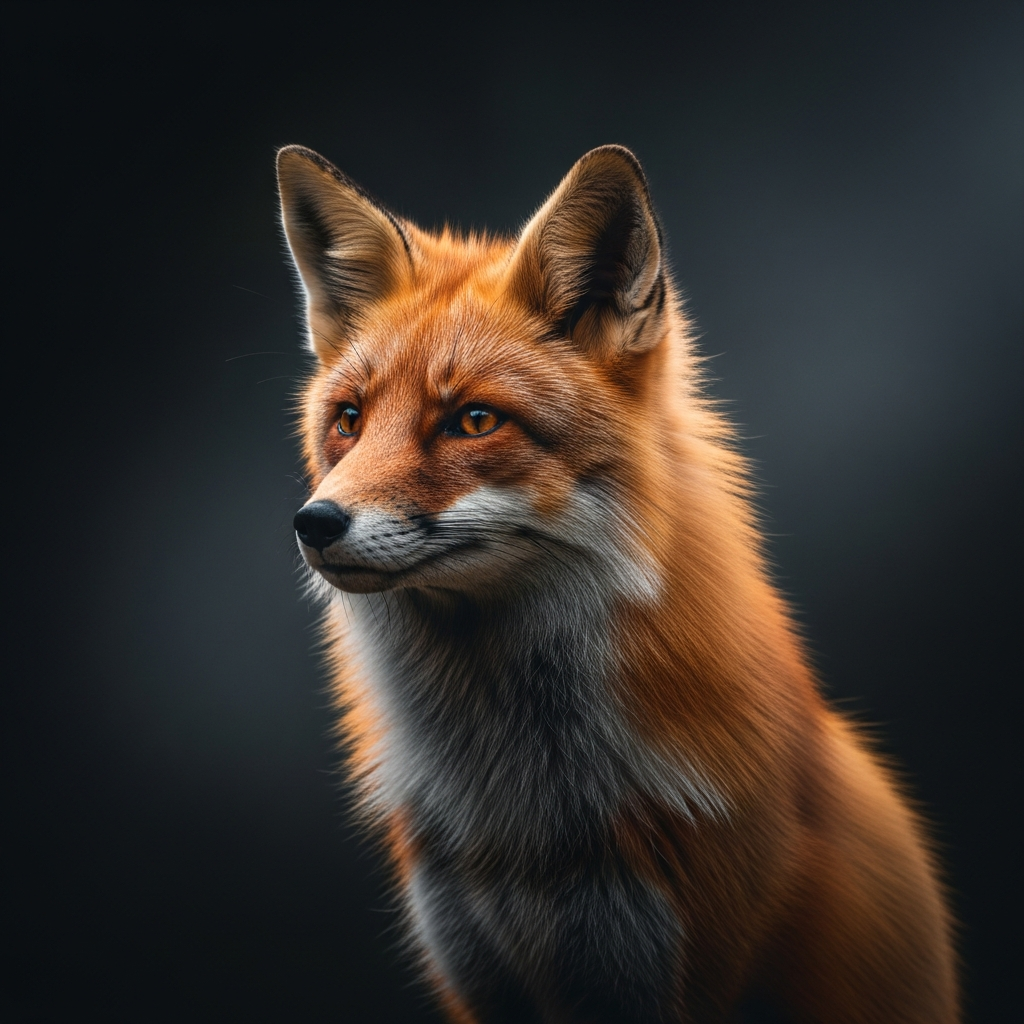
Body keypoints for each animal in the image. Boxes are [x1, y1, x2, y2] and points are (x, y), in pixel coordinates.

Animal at [277, 143, 959, 1023]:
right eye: (350, 421)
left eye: (474, 421)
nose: (316, 522)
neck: (529, 828)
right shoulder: (478, 970)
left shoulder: (672, 967)